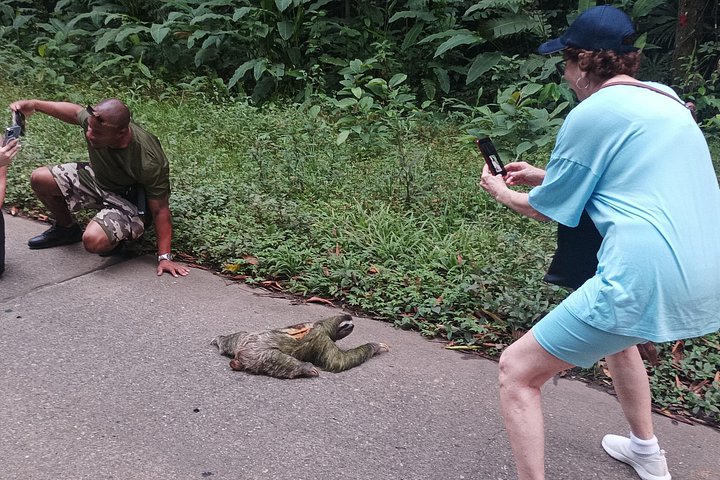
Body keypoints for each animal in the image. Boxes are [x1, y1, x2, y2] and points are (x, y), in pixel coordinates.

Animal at [211, 314, 389, 379]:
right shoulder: (323, 339)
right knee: (277, 359)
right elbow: (337, 362)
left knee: (238, 335)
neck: (322, 324)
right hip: (256, 354)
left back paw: (220, 340)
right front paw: (375, 346)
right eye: (349, 325)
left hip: (244, 339)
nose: (353, 325)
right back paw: (306, 368)